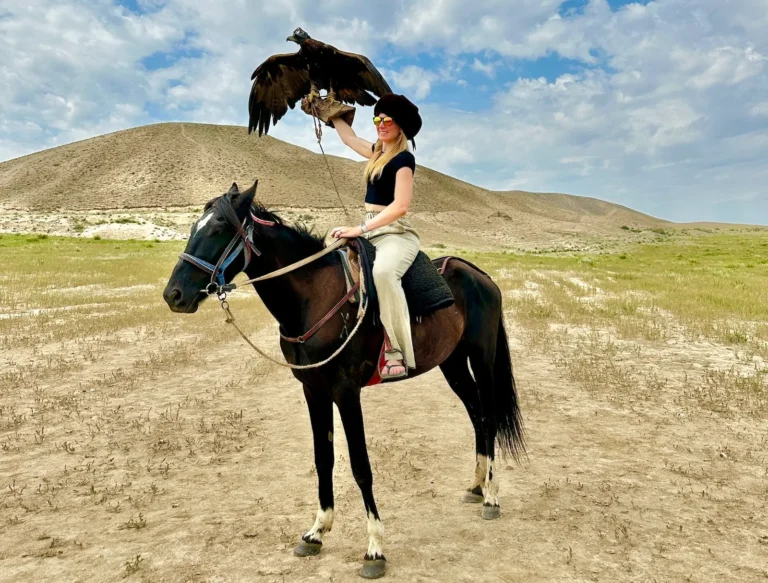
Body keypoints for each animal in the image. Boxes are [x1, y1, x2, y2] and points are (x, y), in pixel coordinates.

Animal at [161, 181, 520, 580]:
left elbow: (361, 466)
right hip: (452, 364)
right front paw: (317, 531)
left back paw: (491, 496)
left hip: (482, 359)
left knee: (488, 416)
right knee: (476, 415)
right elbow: (324, 458)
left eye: (218, 229)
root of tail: (481, 276)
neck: (313, 298)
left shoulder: (346, 391)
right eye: (194, 227)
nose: (174, 295)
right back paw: (476, 486)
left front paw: (375, 548)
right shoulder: (313, 390)